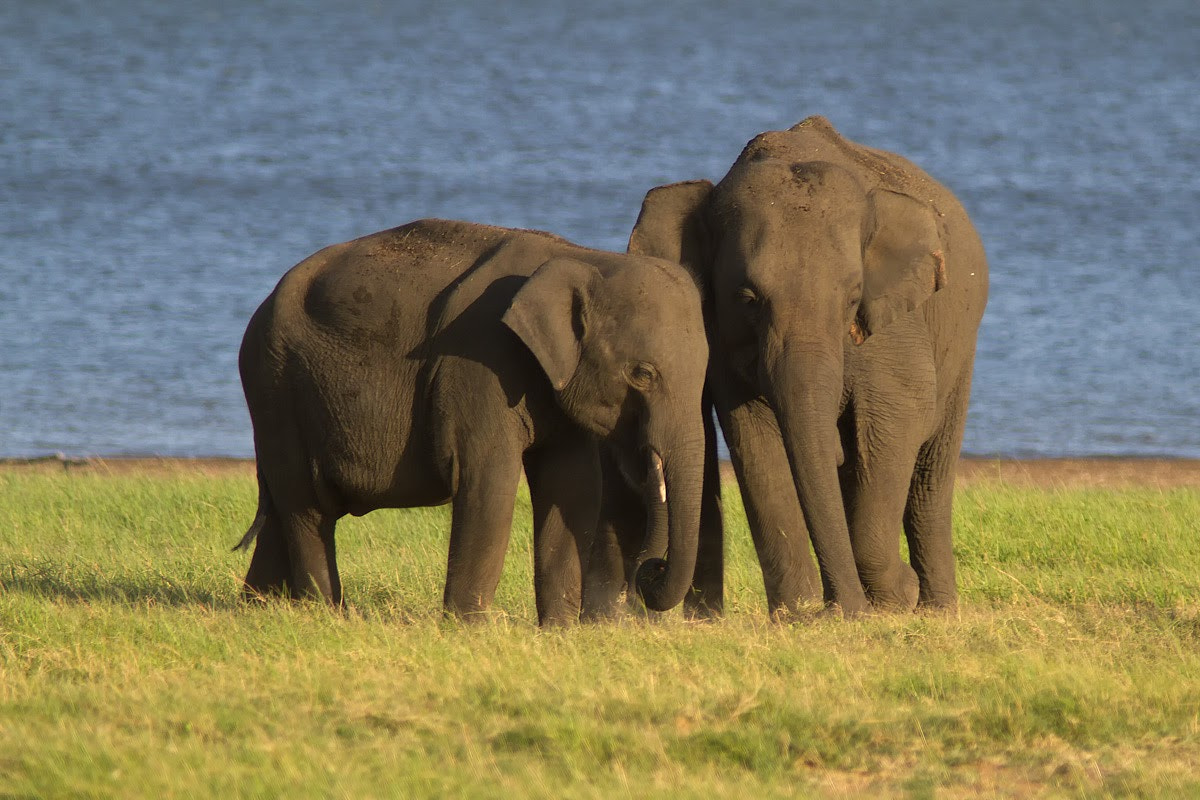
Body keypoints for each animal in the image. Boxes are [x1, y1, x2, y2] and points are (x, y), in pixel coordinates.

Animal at [229, 219, 705, 623]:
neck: (582, 256)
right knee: (307, 507)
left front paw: (559, 632)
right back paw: (325, 614)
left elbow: (574, 487)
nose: (650, 569)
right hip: (275, 385)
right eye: (642, 374)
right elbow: (488, 480)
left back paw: (259, 609)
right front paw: (468, 628)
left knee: (284, 509)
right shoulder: (479, 361)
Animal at [624, 115, 988, 618]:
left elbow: (897, 420)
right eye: (748, 299)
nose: (843, 609)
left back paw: (935, 609)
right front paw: (799, 616)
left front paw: (894, 599)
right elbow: (755, 439)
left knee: (930, 473)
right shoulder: (722, 337)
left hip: (962, 345)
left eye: (853, 298)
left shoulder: (896, 328)